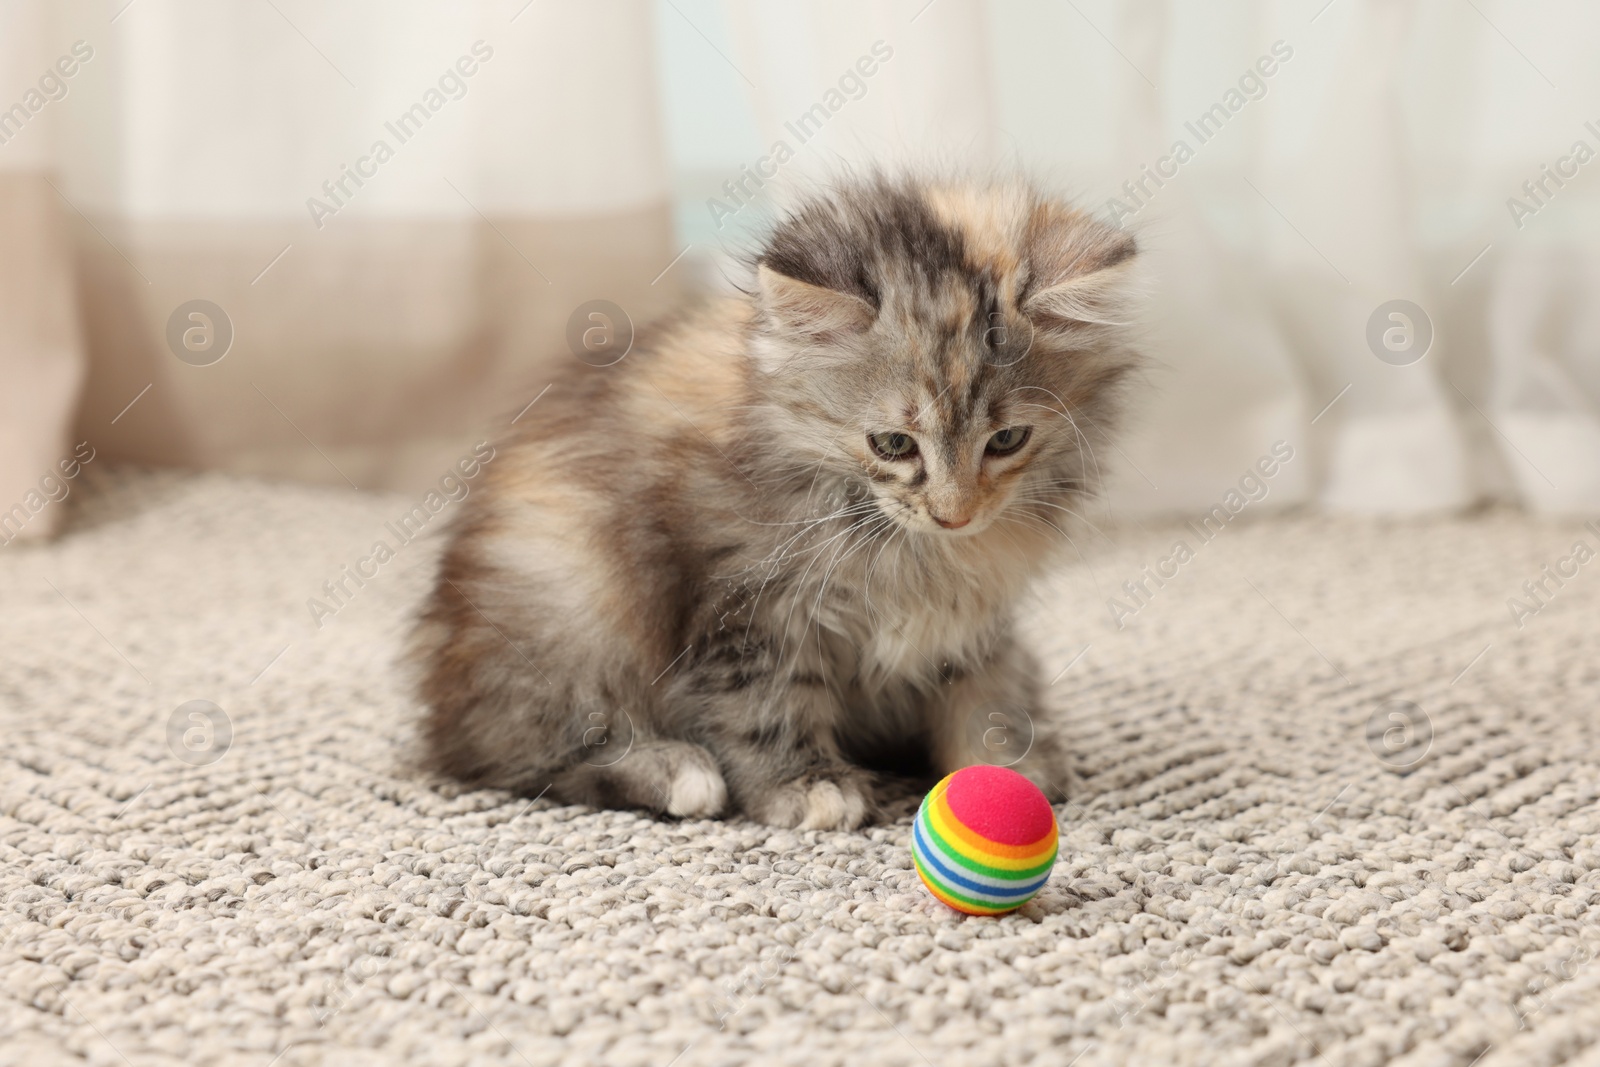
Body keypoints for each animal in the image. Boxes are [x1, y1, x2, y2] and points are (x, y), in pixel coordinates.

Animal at [409, 175, 1139, 831]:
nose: (954, 513)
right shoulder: (749, 607)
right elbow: (766, 705)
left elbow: (983, 686)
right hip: (569, 601)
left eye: (1007, 439)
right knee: (519, 755)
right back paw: (676, 771)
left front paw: (1003, 761)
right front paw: (807, 786)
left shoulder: (976, 616)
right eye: (893, 444)